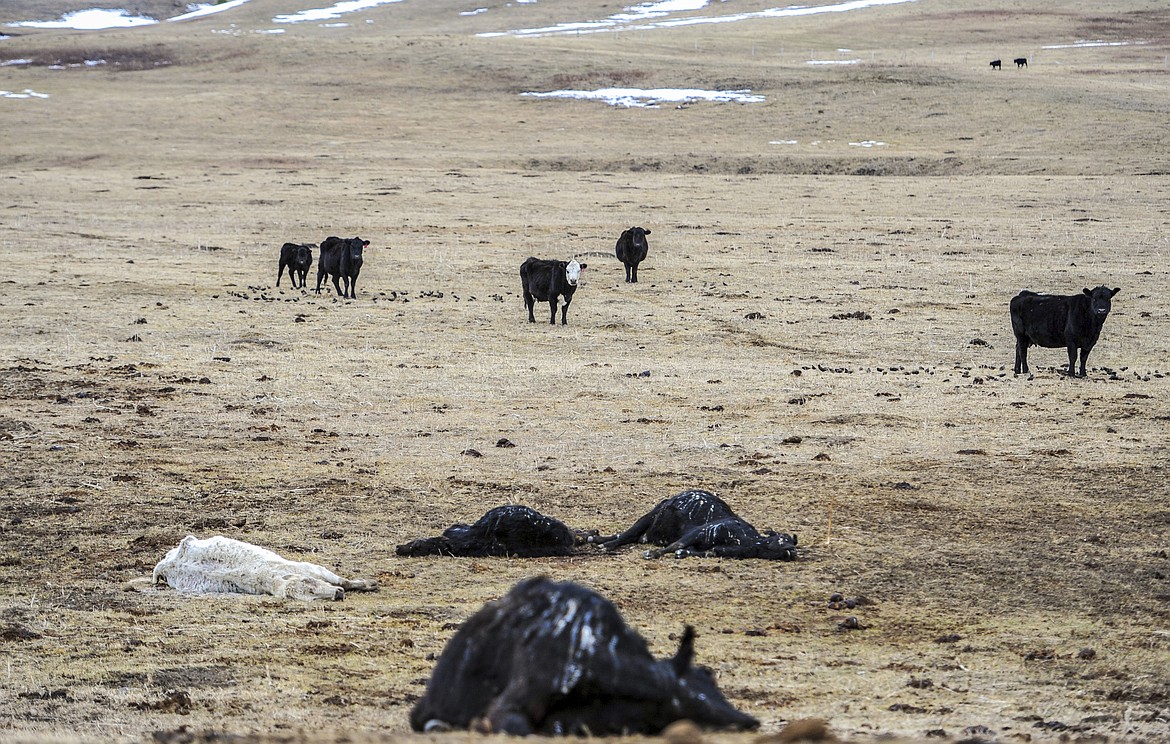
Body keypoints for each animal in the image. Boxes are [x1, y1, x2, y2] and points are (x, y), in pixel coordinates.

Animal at [594, 491, 795, 561]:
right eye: (781, 538)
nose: (791, 550)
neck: (745, 540)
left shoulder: (713, 548)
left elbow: (697, 551)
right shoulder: (700, 532)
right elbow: (677, 545)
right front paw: (653, 554)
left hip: (648, 530)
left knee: (629, 536)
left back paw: (595, 538)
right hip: (649, 516)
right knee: (626, 535)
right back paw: (605, 545)